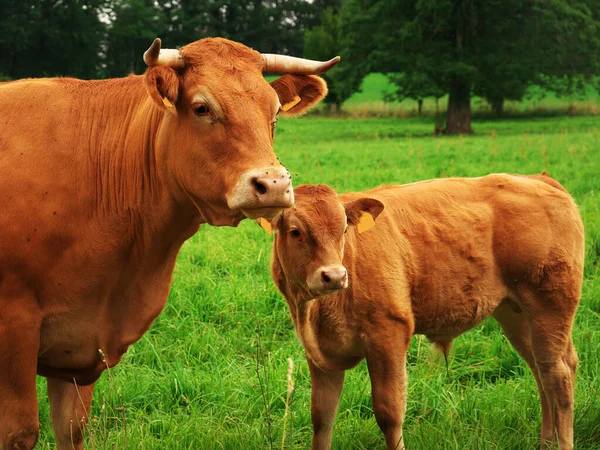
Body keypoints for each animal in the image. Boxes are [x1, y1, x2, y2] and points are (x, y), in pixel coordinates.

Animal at [0, 38, 338, 450]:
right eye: (202, 107)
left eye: (274, 113)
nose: (273, 184)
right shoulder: (14, 328)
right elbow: (19, 431)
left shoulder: (78, 347)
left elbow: (71, 428)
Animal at [264, 174, 584, 450]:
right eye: (296, 232)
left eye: (343, 228)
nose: (334, 276)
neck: (315, 312)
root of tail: (538, 180)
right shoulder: (319, 352)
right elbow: (322, 417)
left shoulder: (388, 335)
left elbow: (389, 412)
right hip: (516, 313)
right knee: (541, 370)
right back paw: (545, 443)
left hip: (550, 306)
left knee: (558, 373)